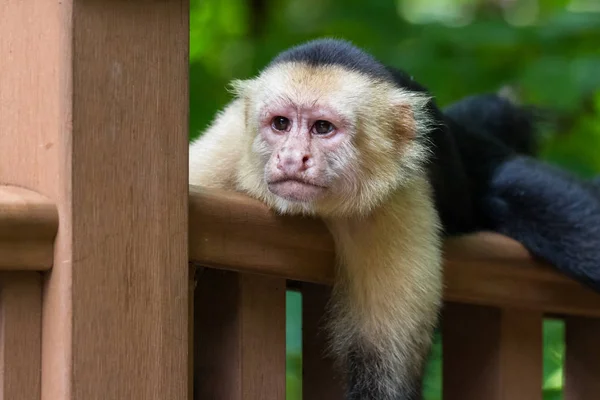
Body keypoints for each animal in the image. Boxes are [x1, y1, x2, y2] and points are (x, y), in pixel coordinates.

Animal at [190, 38, 600, 400]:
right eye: (280, 124)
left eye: (323, 128)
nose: (292, 158)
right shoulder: (224, 150)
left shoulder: (397, 200)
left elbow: (385, 379)